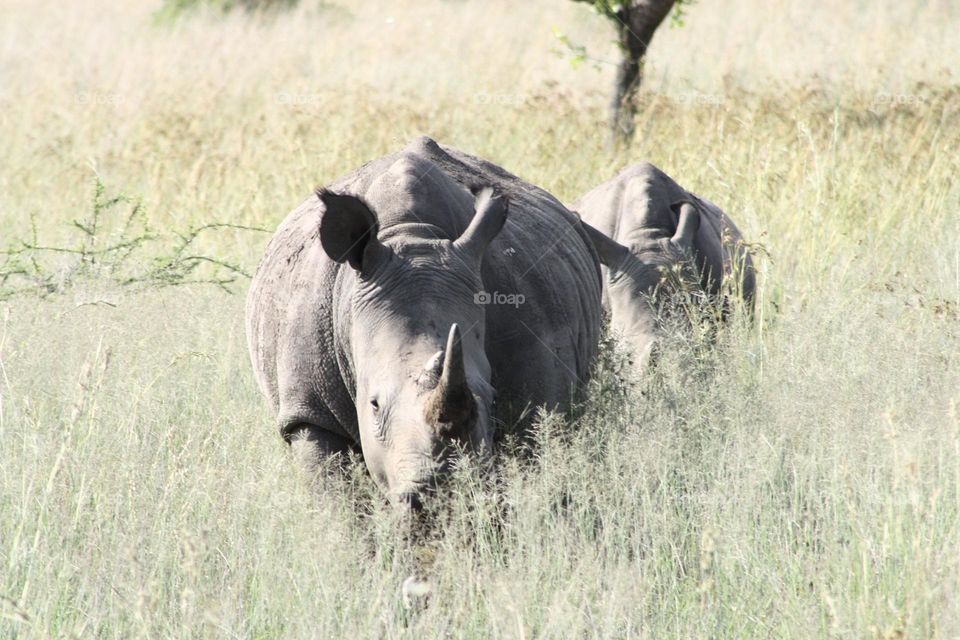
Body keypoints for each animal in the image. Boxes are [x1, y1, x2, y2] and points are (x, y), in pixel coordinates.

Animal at [248, 136, 600, 510]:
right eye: (373, 405)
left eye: (491, 400)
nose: (437, 497)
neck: (413, 237)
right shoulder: (310, 413)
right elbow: (341, 503)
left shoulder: (540, 401)